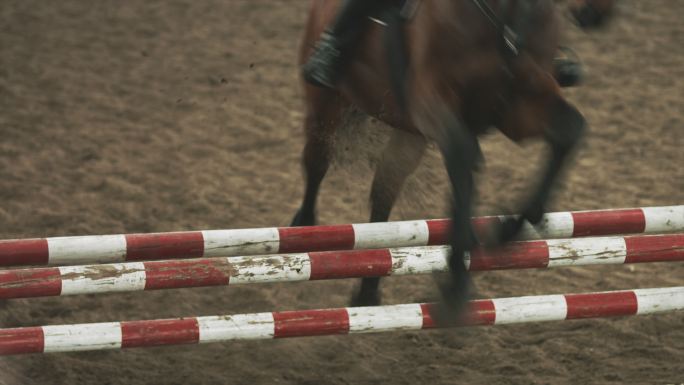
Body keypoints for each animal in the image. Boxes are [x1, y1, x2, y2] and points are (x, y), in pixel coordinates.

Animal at [292, 0, 584, 316]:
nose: (592, 15)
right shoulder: (430, 100)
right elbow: (463, 153)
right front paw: (456, 282)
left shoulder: (518, 107)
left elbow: (569, 130)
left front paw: (513, 225)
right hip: (327, 106)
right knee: (317, 162)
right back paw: (303, 228)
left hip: (408, 133)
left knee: (383, 195)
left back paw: (368, 290)